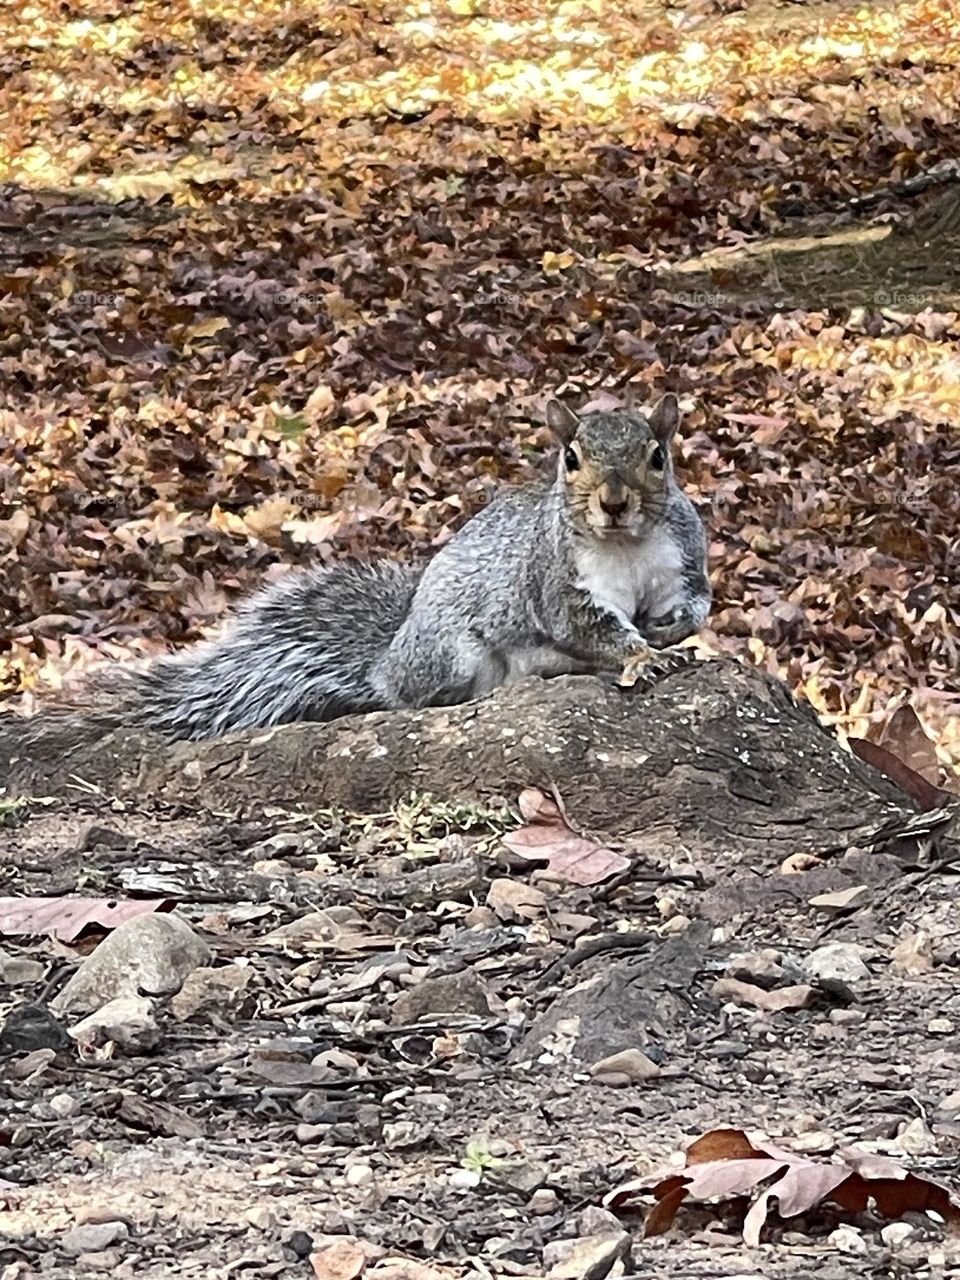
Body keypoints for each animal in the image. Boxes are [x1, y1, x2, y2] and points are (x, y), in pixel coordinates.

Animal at [19, 396, 711, 742]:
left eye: (658, 456)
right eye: (570, 458)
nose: (614, 501)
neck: (626, 545)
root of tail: (387, 658)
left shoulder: (683, 560)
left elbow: (697, 603)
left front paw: (675, 632)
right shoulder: (558, 582)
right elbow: (591, 626)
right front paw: (640, 655)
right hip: (452, 656)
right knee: (421, 699)